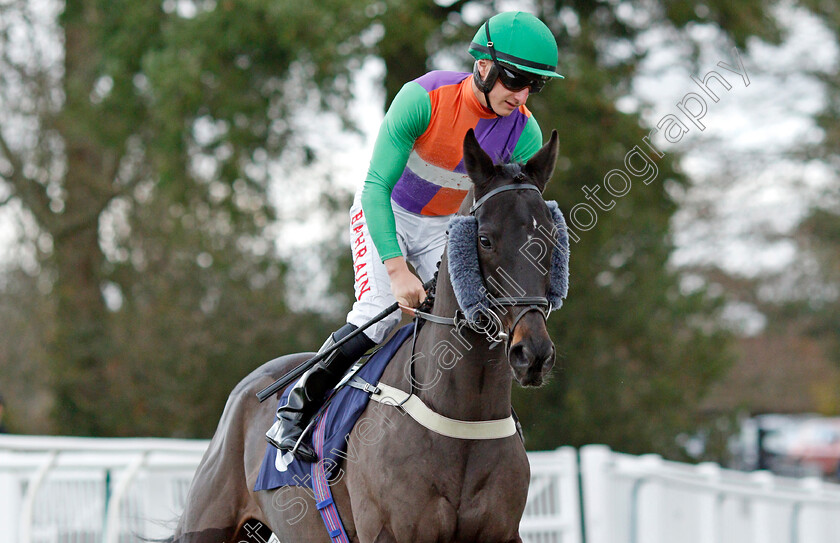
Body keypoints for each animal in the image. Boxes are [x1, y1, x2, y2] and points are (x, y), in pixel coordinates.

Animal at [171, 129, 564, 543]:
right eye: (485, 240)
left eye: (553, 238)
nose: (533, 352)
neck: (463, 417)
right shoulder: (390, 530)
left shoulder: (501, 532)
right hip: (207, 523)